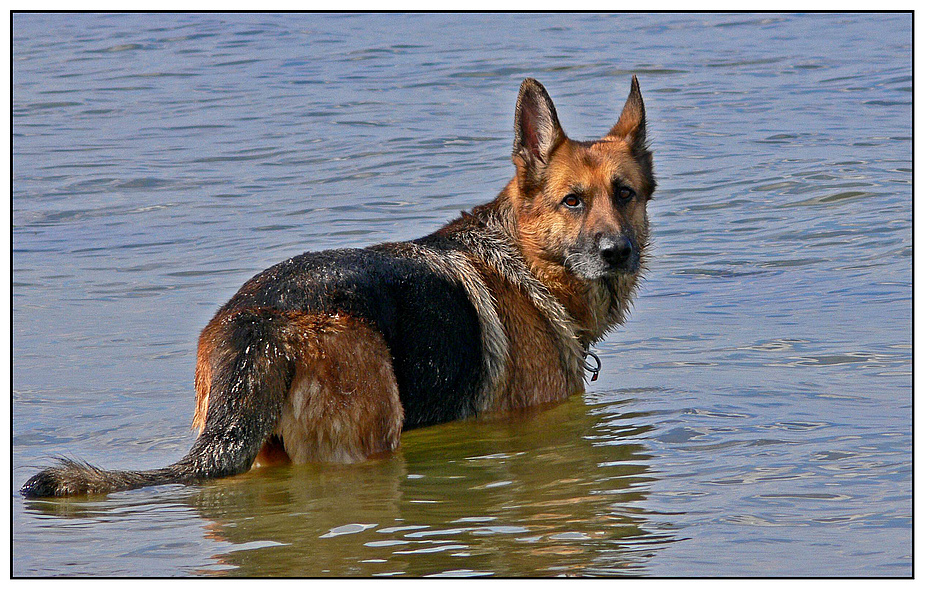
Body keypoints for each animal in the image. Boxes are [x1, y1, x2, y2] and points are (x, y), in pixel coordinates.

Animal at [23, 76, 656, 498]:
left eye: (624, 194)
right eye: (572, 201)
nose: (616, 253)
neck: (526, 258)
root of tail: (259, 323)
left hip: (265, 452)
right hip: (367, 444)